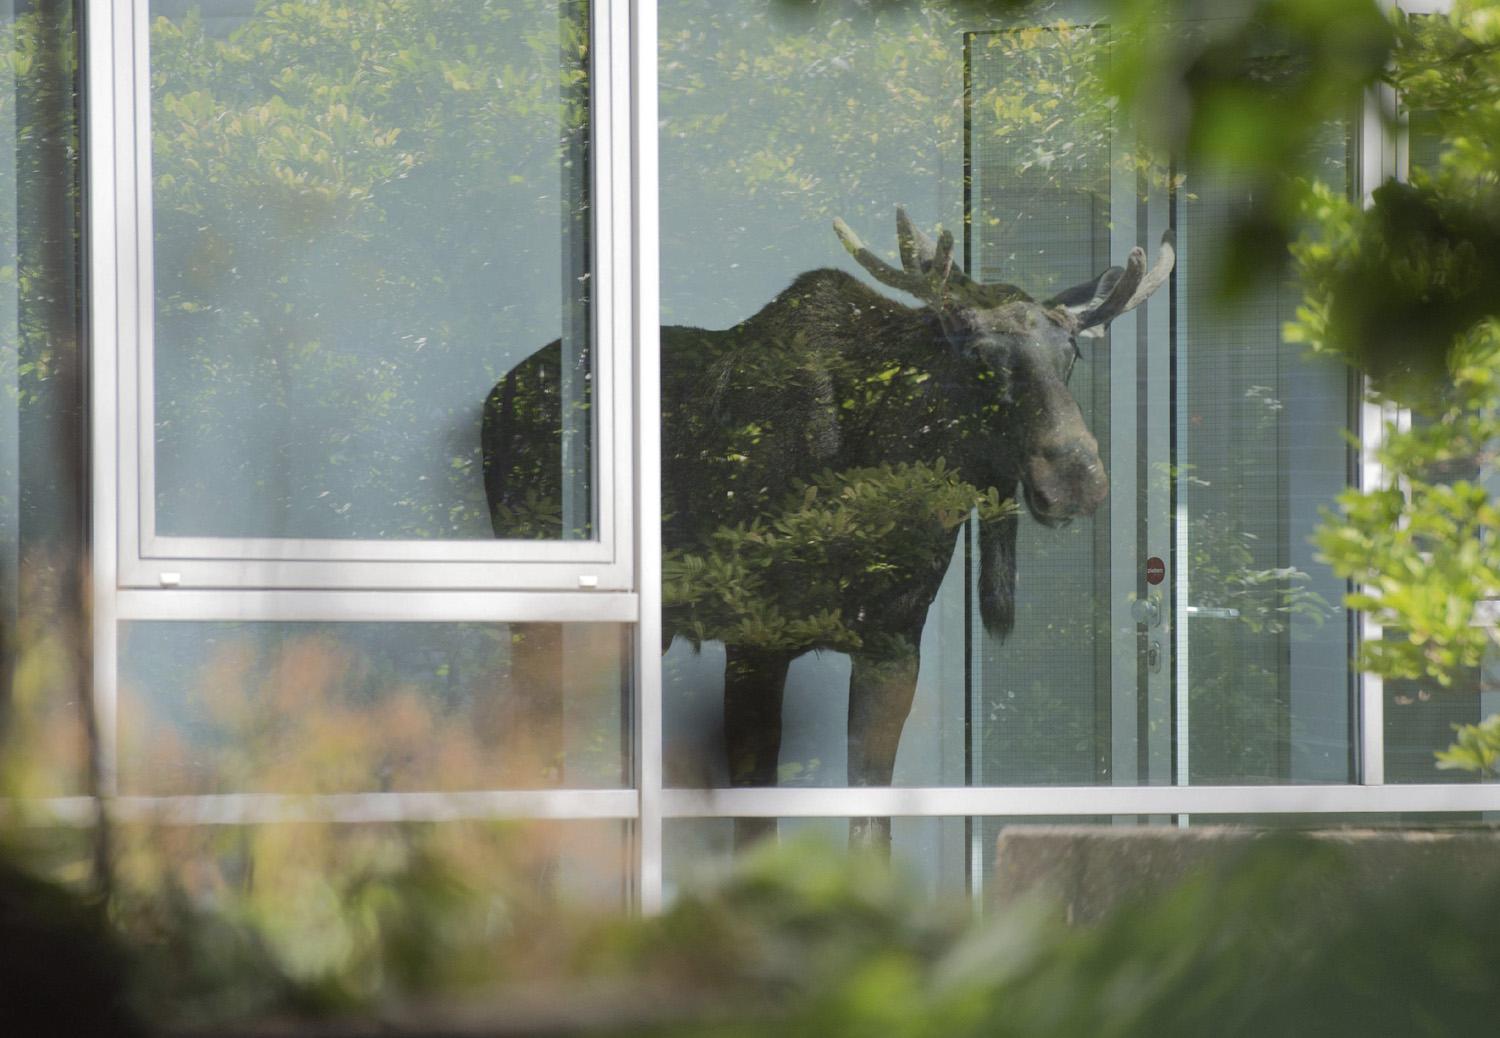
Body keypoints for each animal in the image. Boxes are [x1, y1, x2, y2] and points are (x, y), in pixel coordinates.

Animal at [480, 208, 1170, 852]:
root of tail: (494, 399)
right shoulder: (756, 638)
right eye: (975, 352)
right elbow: (754, 826)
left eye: (1071, 353)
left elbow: (870, 824)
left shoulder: (894, 645)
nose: (1078, 478)